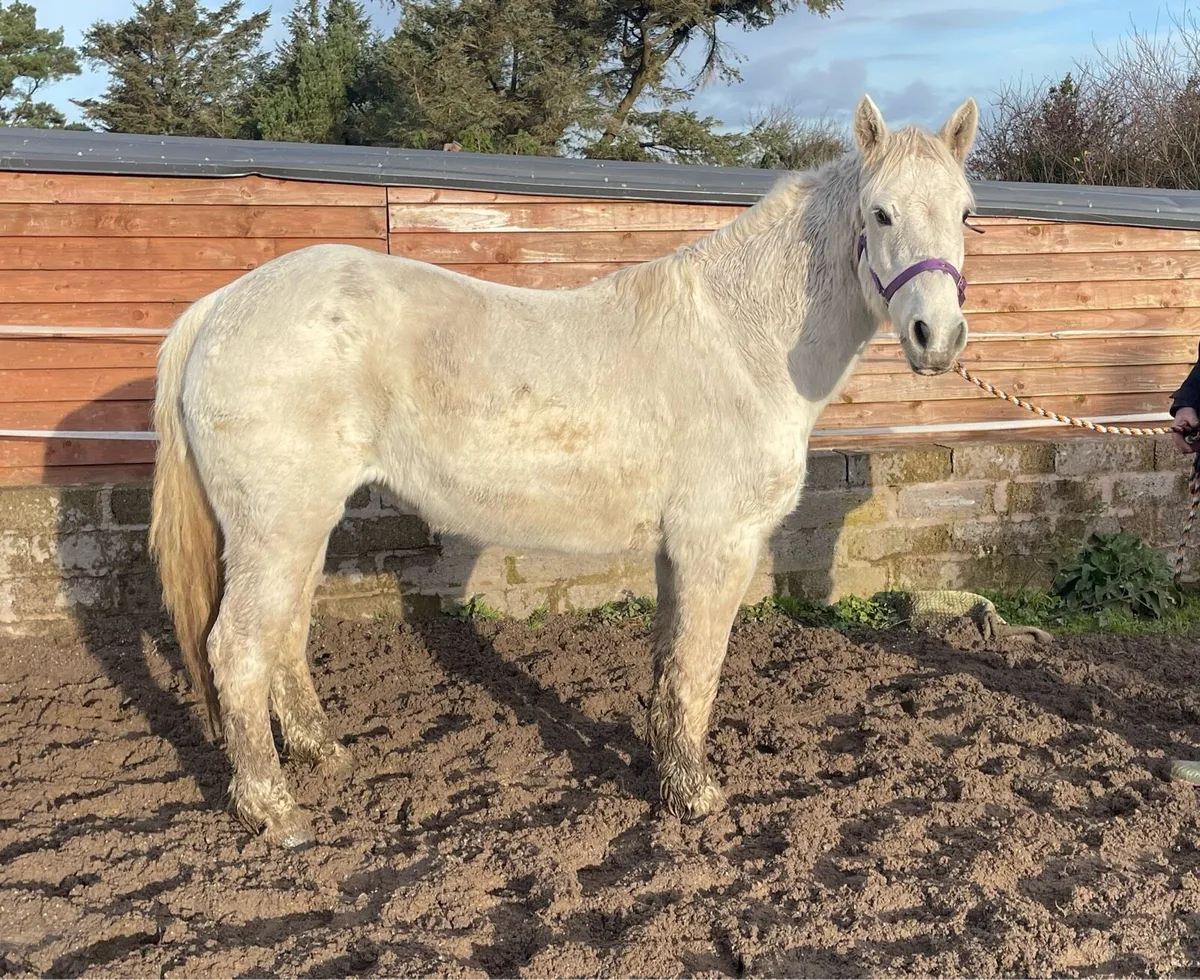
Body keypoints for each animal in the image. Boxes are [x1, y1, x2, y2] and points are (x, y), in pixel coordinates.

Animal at [148, 94, 979, 847]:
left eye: (967, 214)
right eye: (880, 214)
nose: (936, 338)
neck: (742, 343)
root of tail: (220, 307)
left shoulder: (678, 550)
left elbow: (668, 666)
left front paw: (665, 773)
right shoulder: (719, 544)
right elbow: (699, 669)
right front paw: (696, 796)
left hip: (301, 527)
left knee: (284, 635)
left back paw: (324, 753)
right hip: (278, 528)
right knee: (238, 649)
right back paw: (274, 812)